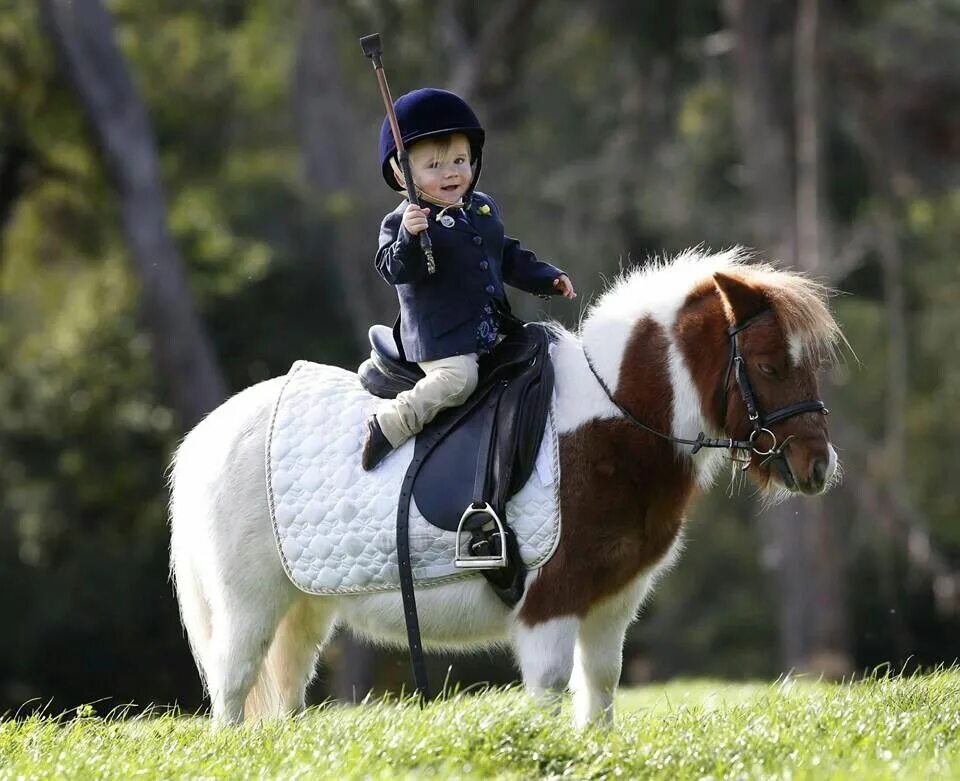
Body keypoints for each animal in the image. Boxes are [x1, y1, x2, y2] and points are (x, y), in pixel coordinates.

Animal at [169, 248, 844, 724]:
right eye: (769, 365)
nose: (816, 466)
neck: (610, 426)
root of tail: (207, 436)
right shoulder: (552, 603)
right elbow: (549, 697)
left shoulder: (611, 606)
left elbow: (599, 695)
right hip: (249, 606)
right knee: (231, 689)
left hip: (301, 609)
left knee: (280, 695)